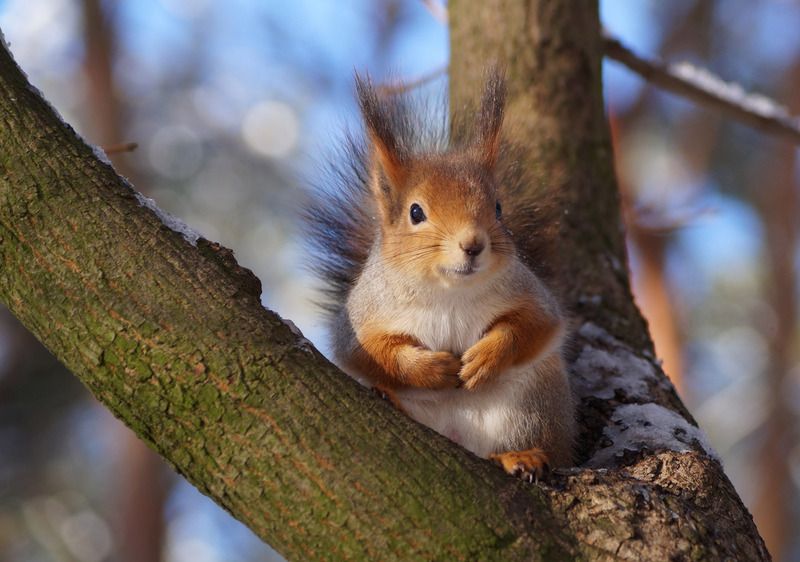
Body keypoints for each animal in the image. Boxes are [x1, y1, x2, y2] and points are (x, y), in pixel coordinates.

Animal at [305, 70, 576, 480]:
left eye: (498, 208)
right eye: (415, 212)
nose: (473, 244)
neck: (449, 290)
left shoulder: (530, 294)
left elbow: (534, 325)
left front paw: (485, 358)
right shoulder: (363, 316)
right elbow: (370, 351)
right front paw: (431, 368)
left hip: (531, 407)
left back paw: (521, 456)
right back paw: (390, 398)